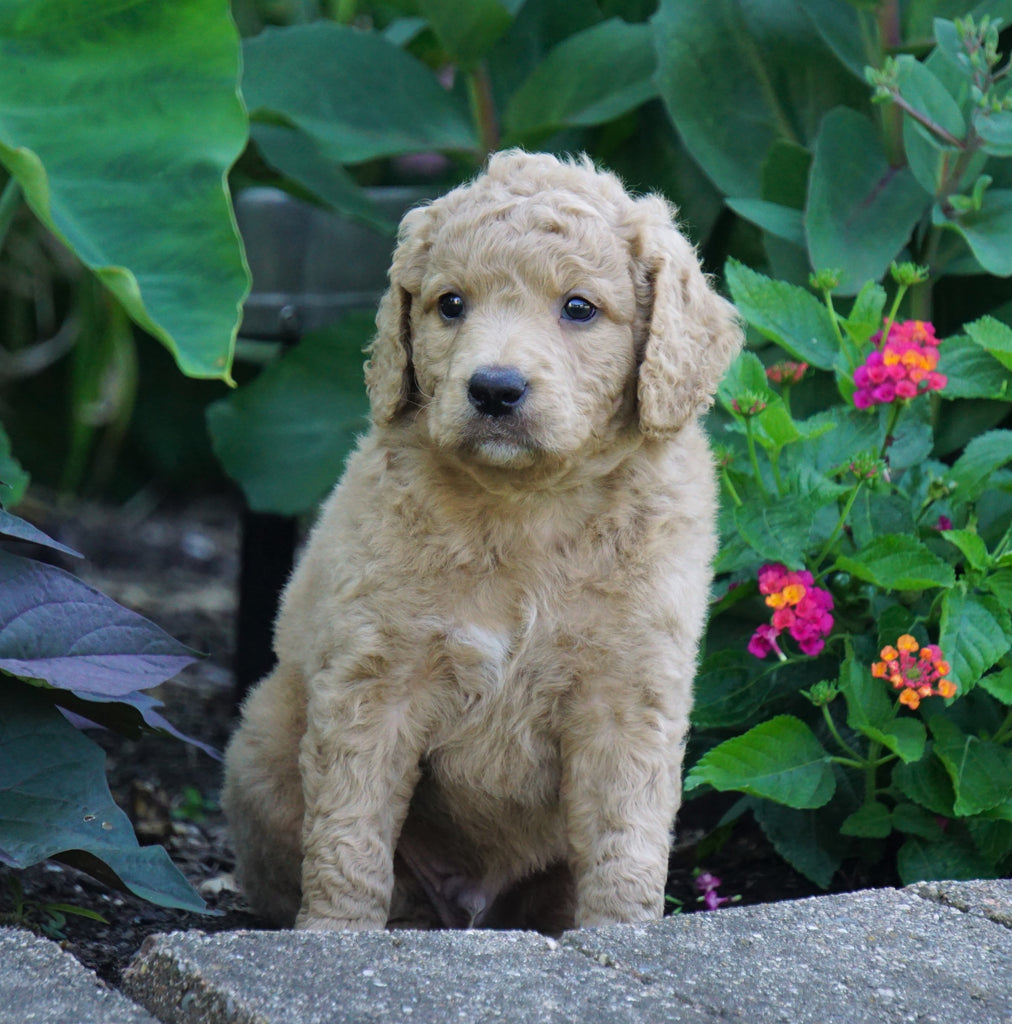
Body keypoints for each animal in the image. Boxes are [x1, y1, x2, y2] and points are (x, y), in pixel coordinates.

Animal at [223, 148, 741, 933]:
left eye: (579, 308)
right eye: (450, 305)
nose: (495, 389)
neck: (525, 508)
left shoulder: (628, 690)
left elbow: (625, 836)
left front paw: (623, 932)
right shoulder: (375, 678)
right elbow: (350, 828)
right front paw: (335, 937)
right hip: (264, 742)